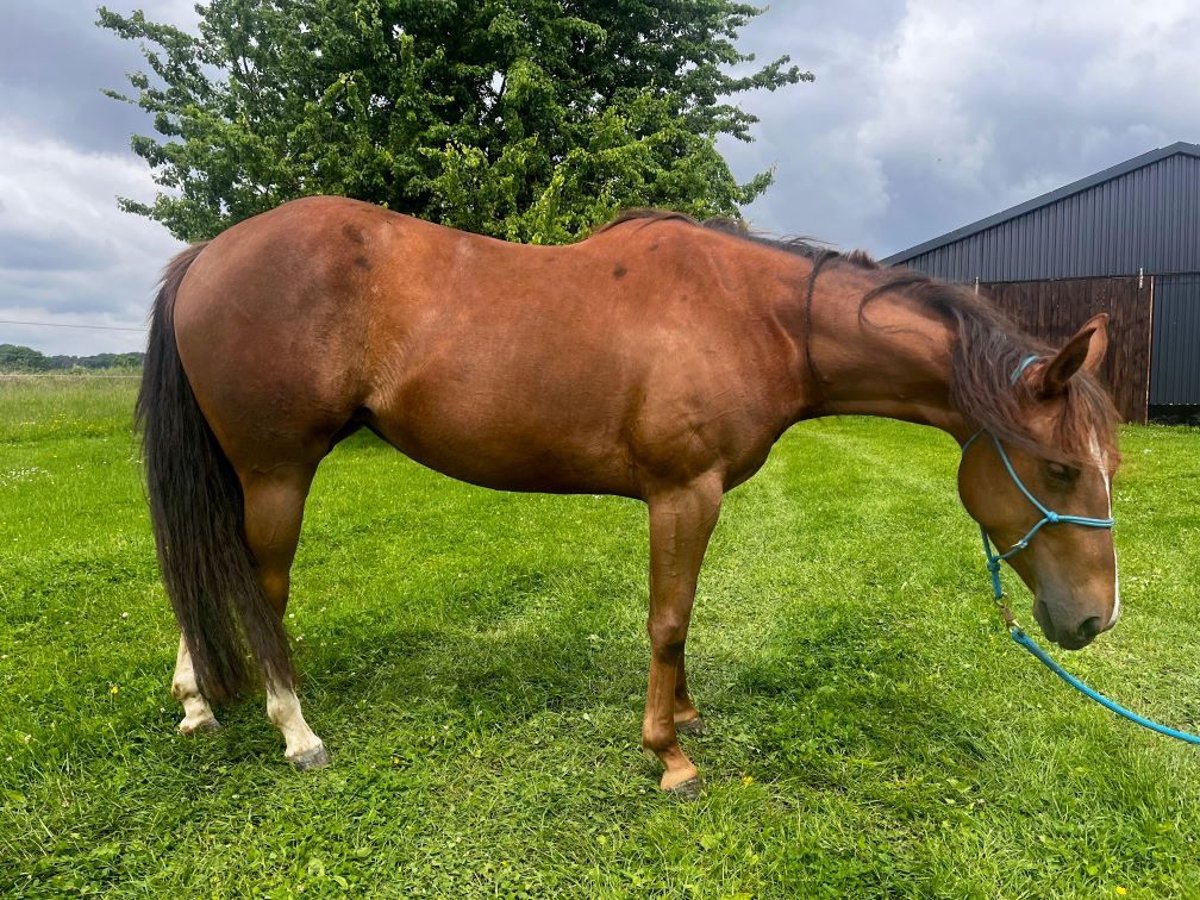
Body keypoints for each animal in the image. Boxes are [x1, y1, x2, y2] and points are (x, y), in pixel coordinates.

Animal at [140, 199, 1123, 796]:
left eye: (1109, 463)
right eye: (1061, 469)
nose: (1094, 619)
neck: (756, 317)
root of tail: (207, 254)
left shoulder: (696, 499)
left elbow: (682, 613)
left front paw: (682, 714)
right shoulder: (683, 494)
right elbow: (669, 618)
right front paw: (670, 755)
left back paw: (198, 703)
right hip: (276, 471)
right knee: (258, 588)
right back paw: (294, 730)